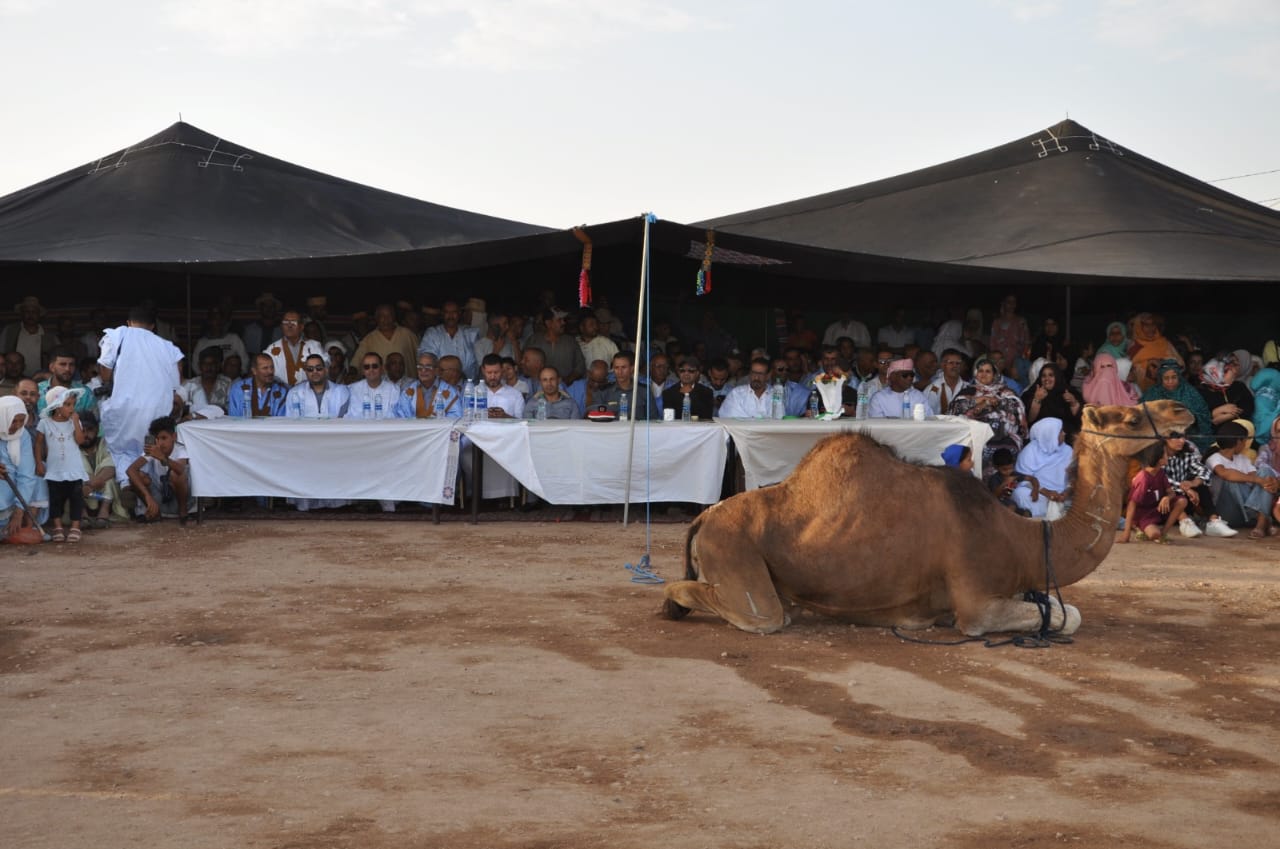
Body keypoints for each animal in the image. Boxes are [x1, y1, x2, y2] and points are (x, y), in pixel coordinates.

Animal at [665, 402, 1192, 635]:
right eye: (1129, 417)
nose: (1182, 411)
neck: (1020, 537)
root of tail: (704, 519)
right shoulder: (976, 602)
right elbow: (1068, 616)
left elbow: (1062, 610)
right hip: (735, 553)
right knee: (761, 614)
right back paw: (672, 602)